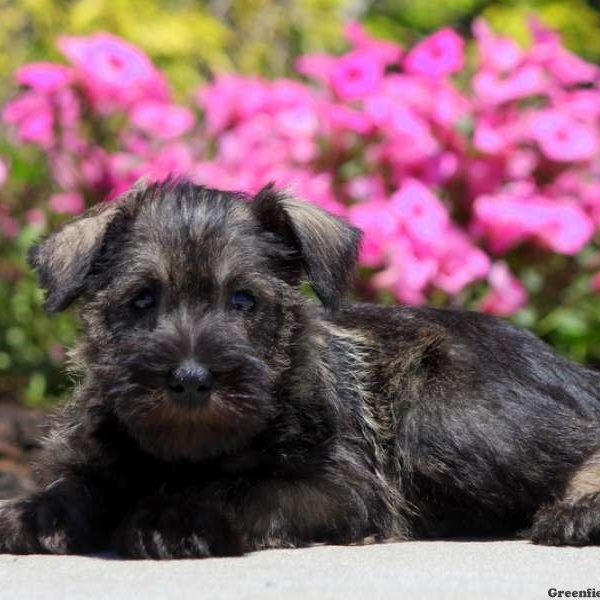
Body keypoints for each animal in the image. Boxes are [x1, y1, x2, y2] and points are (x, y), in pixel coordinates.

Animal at [1, 179, 600, 556]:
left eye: (243, 299)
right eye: (141, 300)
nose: (191, 379)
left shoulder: (339, 487)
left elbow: (241, 488)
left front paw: (176, 520)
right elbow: (78, 482)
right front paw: (38, 513)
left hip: (446, 416)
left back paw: (579, 513)